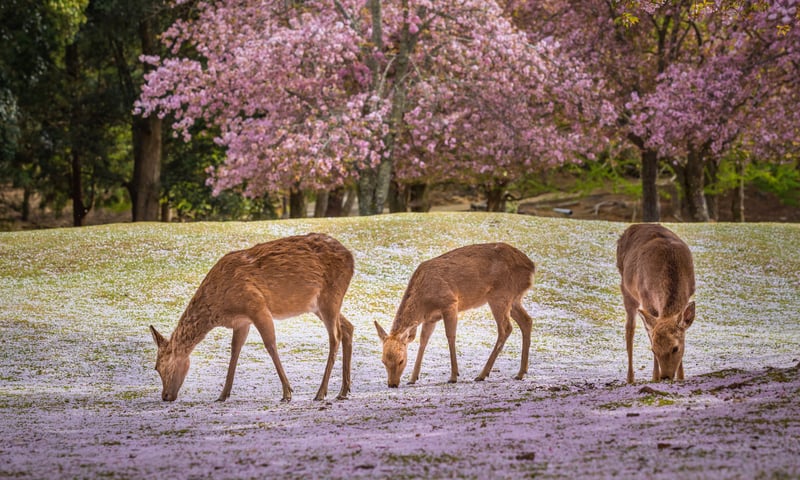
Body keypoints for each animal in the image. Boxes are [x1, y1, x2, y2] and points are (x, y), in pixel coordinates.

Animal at [148, 233, 354, 403]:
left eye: (158, 366)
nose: (165, 396)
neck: (220, 307)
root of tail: (351, 259)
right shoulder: (241, 321)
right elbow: (235, 351)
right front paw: (222, 395)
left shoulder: (256, 305)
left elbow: (270, 344)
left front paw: (287, 392)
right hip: (319, 305)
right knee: (348, 327)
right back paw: (343, 391)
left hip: (330, 296)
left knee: (335, 336)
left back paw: (321, 393)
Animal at [374, 242, 536, 388]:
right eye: (383, 361)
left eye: (401, 360)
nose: (392, 384)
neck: (423, 302)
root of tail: (532, 267)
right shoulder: (430, 318)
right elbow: (423, 341)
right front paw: (413, 378)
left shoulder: (450, 303)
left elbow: (450, 336)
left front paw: (453, 376)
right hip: (514, 298)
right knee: (527, 320)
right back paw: (521, 372)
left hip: (500, 295)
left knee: (506, 328)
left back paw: (482, 374)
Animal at [616, 223, 696, 384]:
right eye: (653, 350)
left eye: (675, 348)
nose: (665, 377)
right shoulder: (646, 299)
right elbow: (649, 333)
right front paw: (655, 377)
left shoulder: (689, 293)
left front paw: (681, 377)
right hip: (626, 289)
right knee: (630, 328)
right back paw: (630, 378)